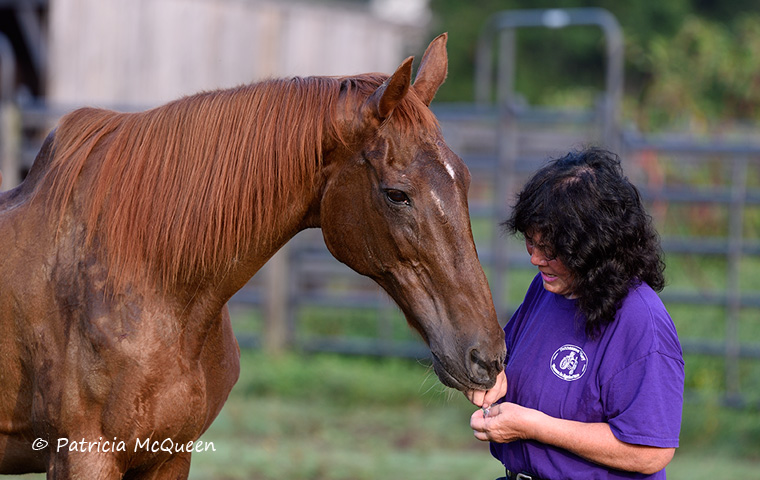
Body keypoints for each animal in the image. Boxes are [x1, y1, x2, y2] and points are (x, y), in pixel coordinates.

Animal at [0, 33, 504, 476]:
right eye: (397, 194)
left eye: (463, 179)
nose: (488, 358)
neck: (152, 281)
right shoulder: (83, 456)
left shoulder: (169, 456)